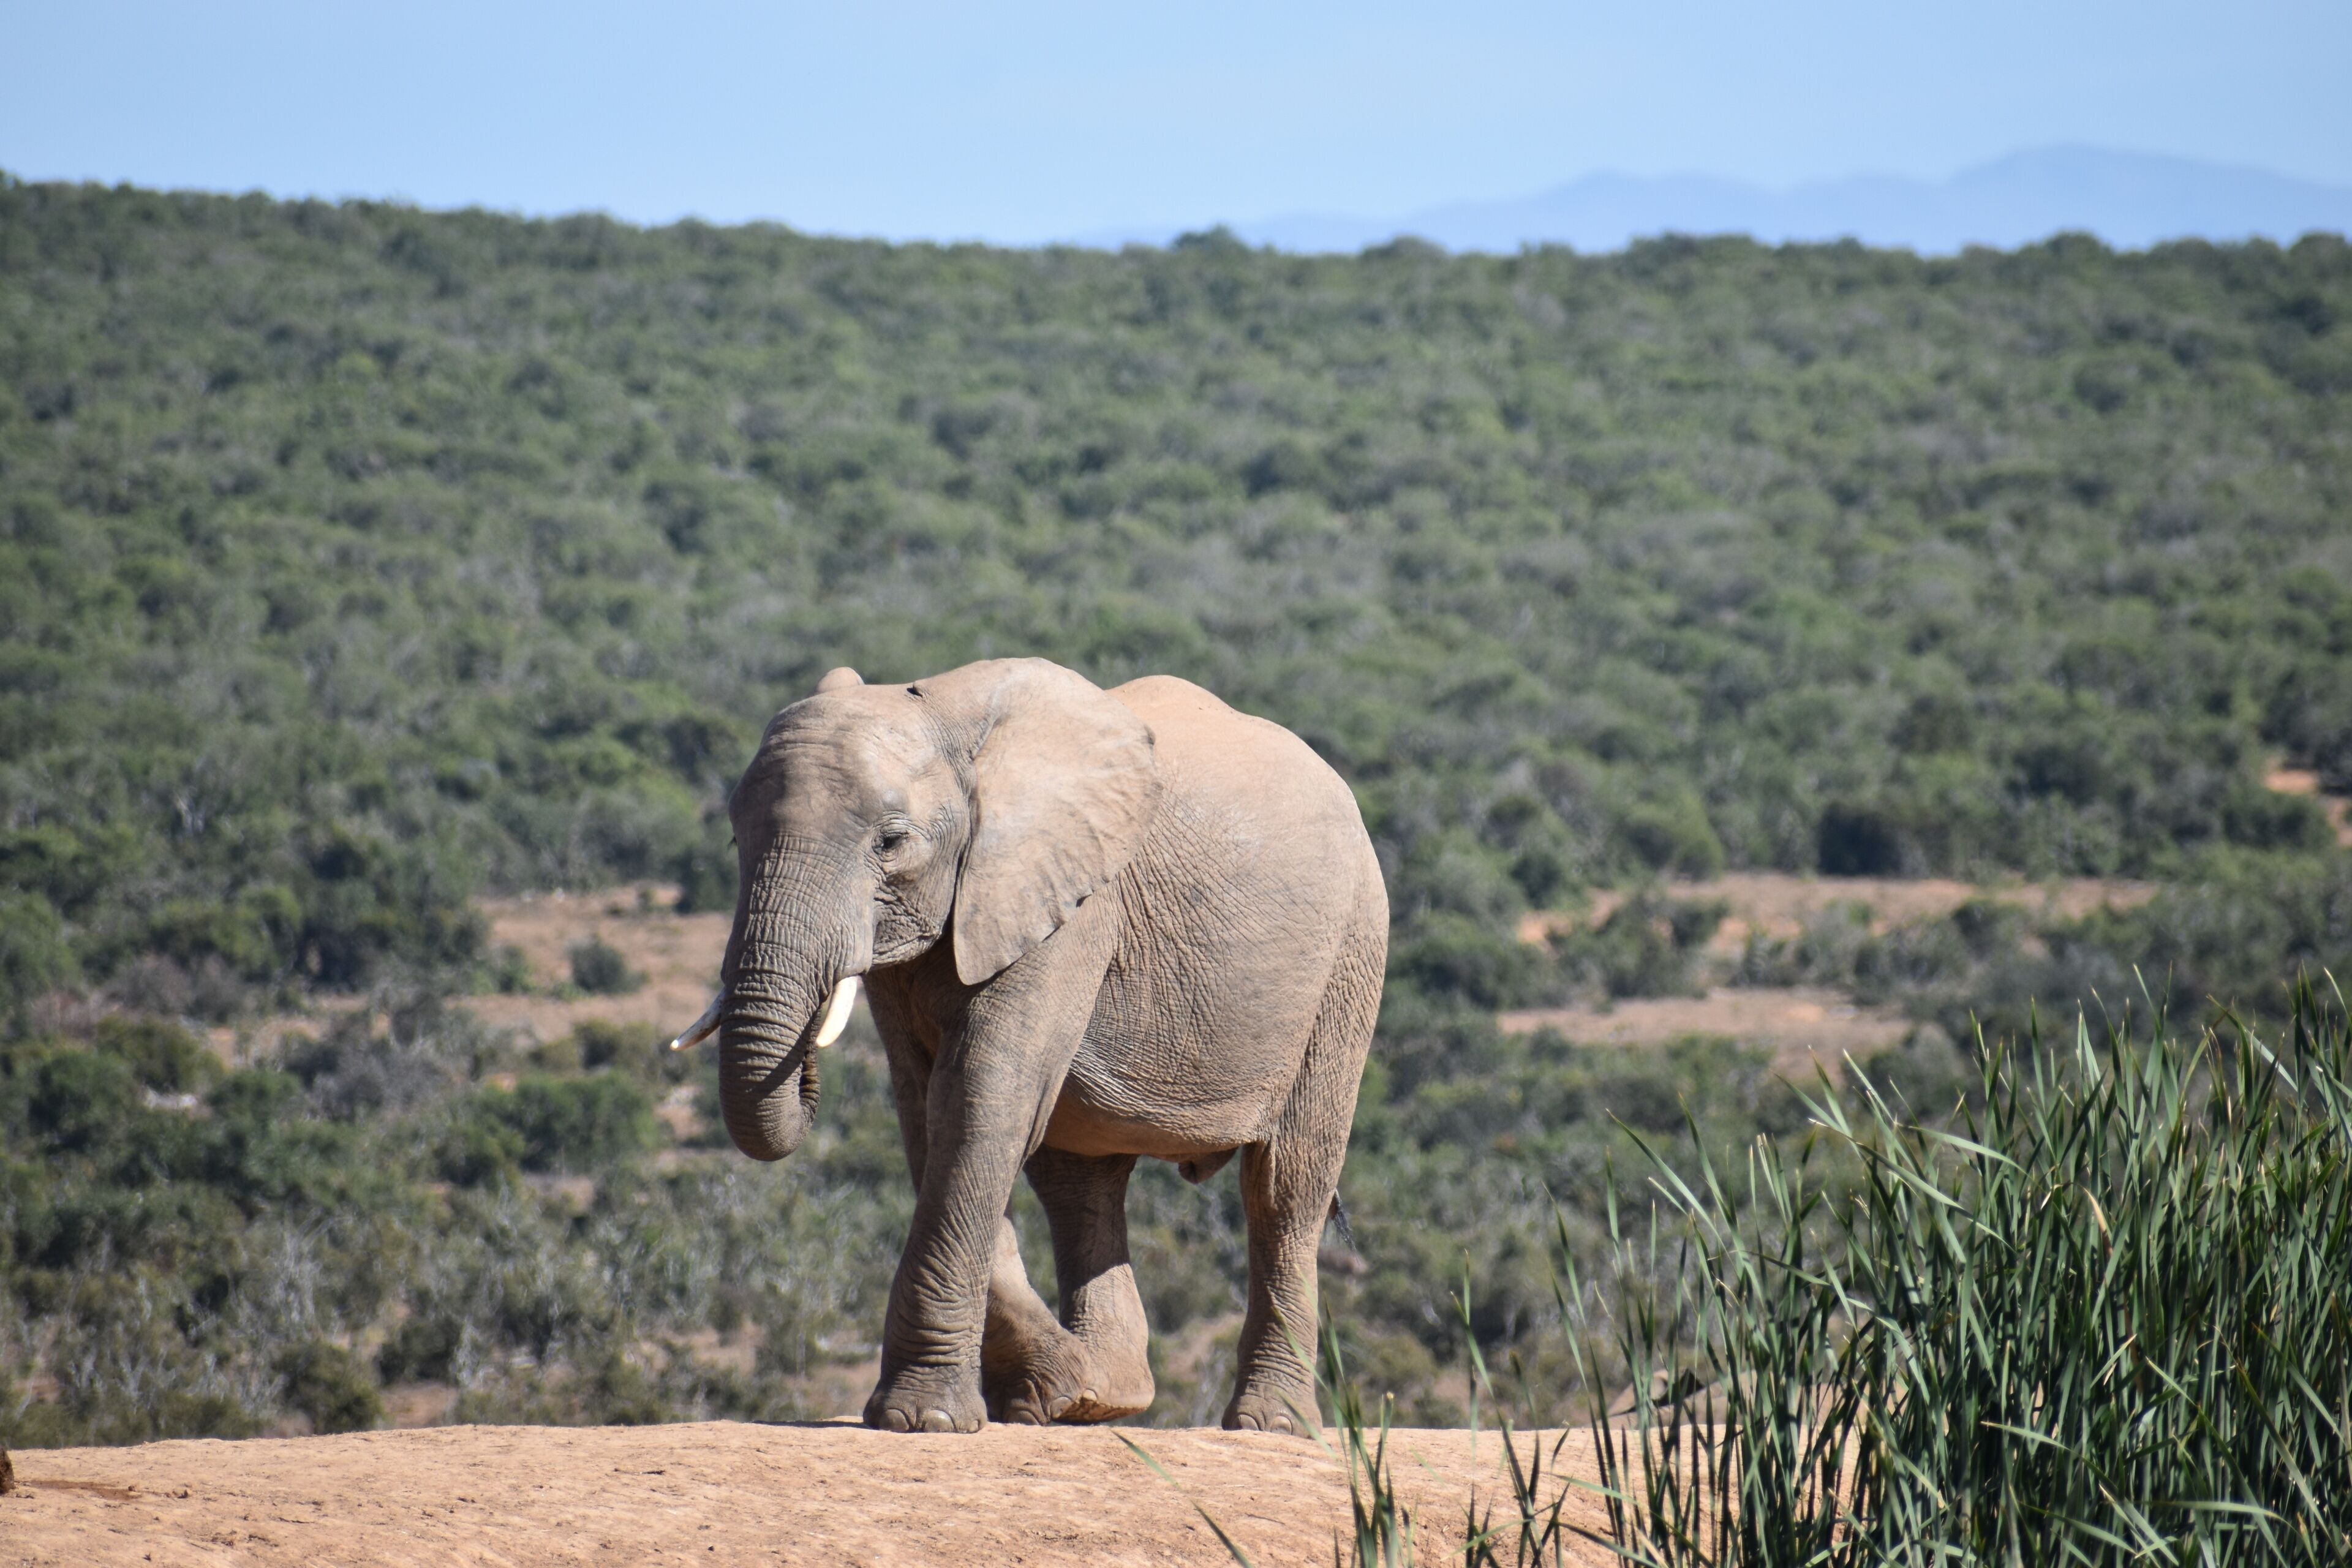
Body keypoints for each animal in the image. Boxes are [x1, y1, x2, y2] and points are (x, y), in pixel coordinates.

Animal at [674, 657, 1386, 1434]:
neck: (945, 715)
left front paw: (923, 1420)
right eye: (737, 841)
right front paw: (1048, 1389)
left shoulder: (1070, 903)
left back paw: (1271, 1425)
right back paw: (1102, 1394)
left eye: (890, 842)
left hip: (1350, 956)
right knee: (1080, 1182)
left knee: (1285, 1187)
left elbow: (980, 1099)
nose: (804, 1069)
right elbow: (929, 1114)